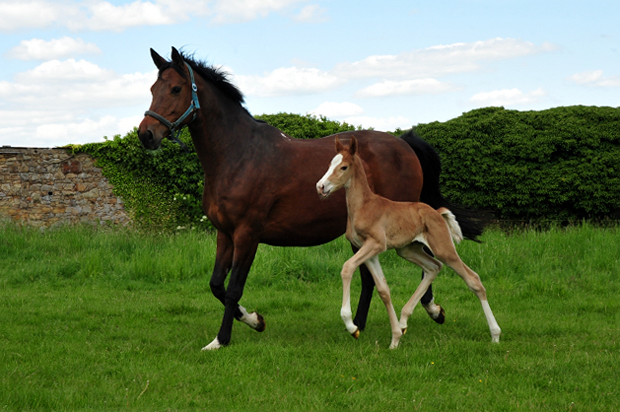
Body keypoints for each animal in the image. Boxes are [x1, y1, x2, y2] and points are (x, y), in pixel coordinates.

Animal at [318, 137, 502, 350]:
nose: (320, 187)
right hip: (408, 250)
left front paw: (351, 326)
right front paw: (395, 338)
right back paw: (404, 320)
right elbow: (384, 290)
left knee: (473, 279)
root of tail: (437, 212)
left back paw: (495, 334)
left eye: (344, 167)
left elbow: (347, 268)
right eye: (329, 164)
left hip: (443, 248)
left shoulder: (375, 244)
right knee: (433, 267)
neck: (363, 206)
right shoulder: (370, 251)